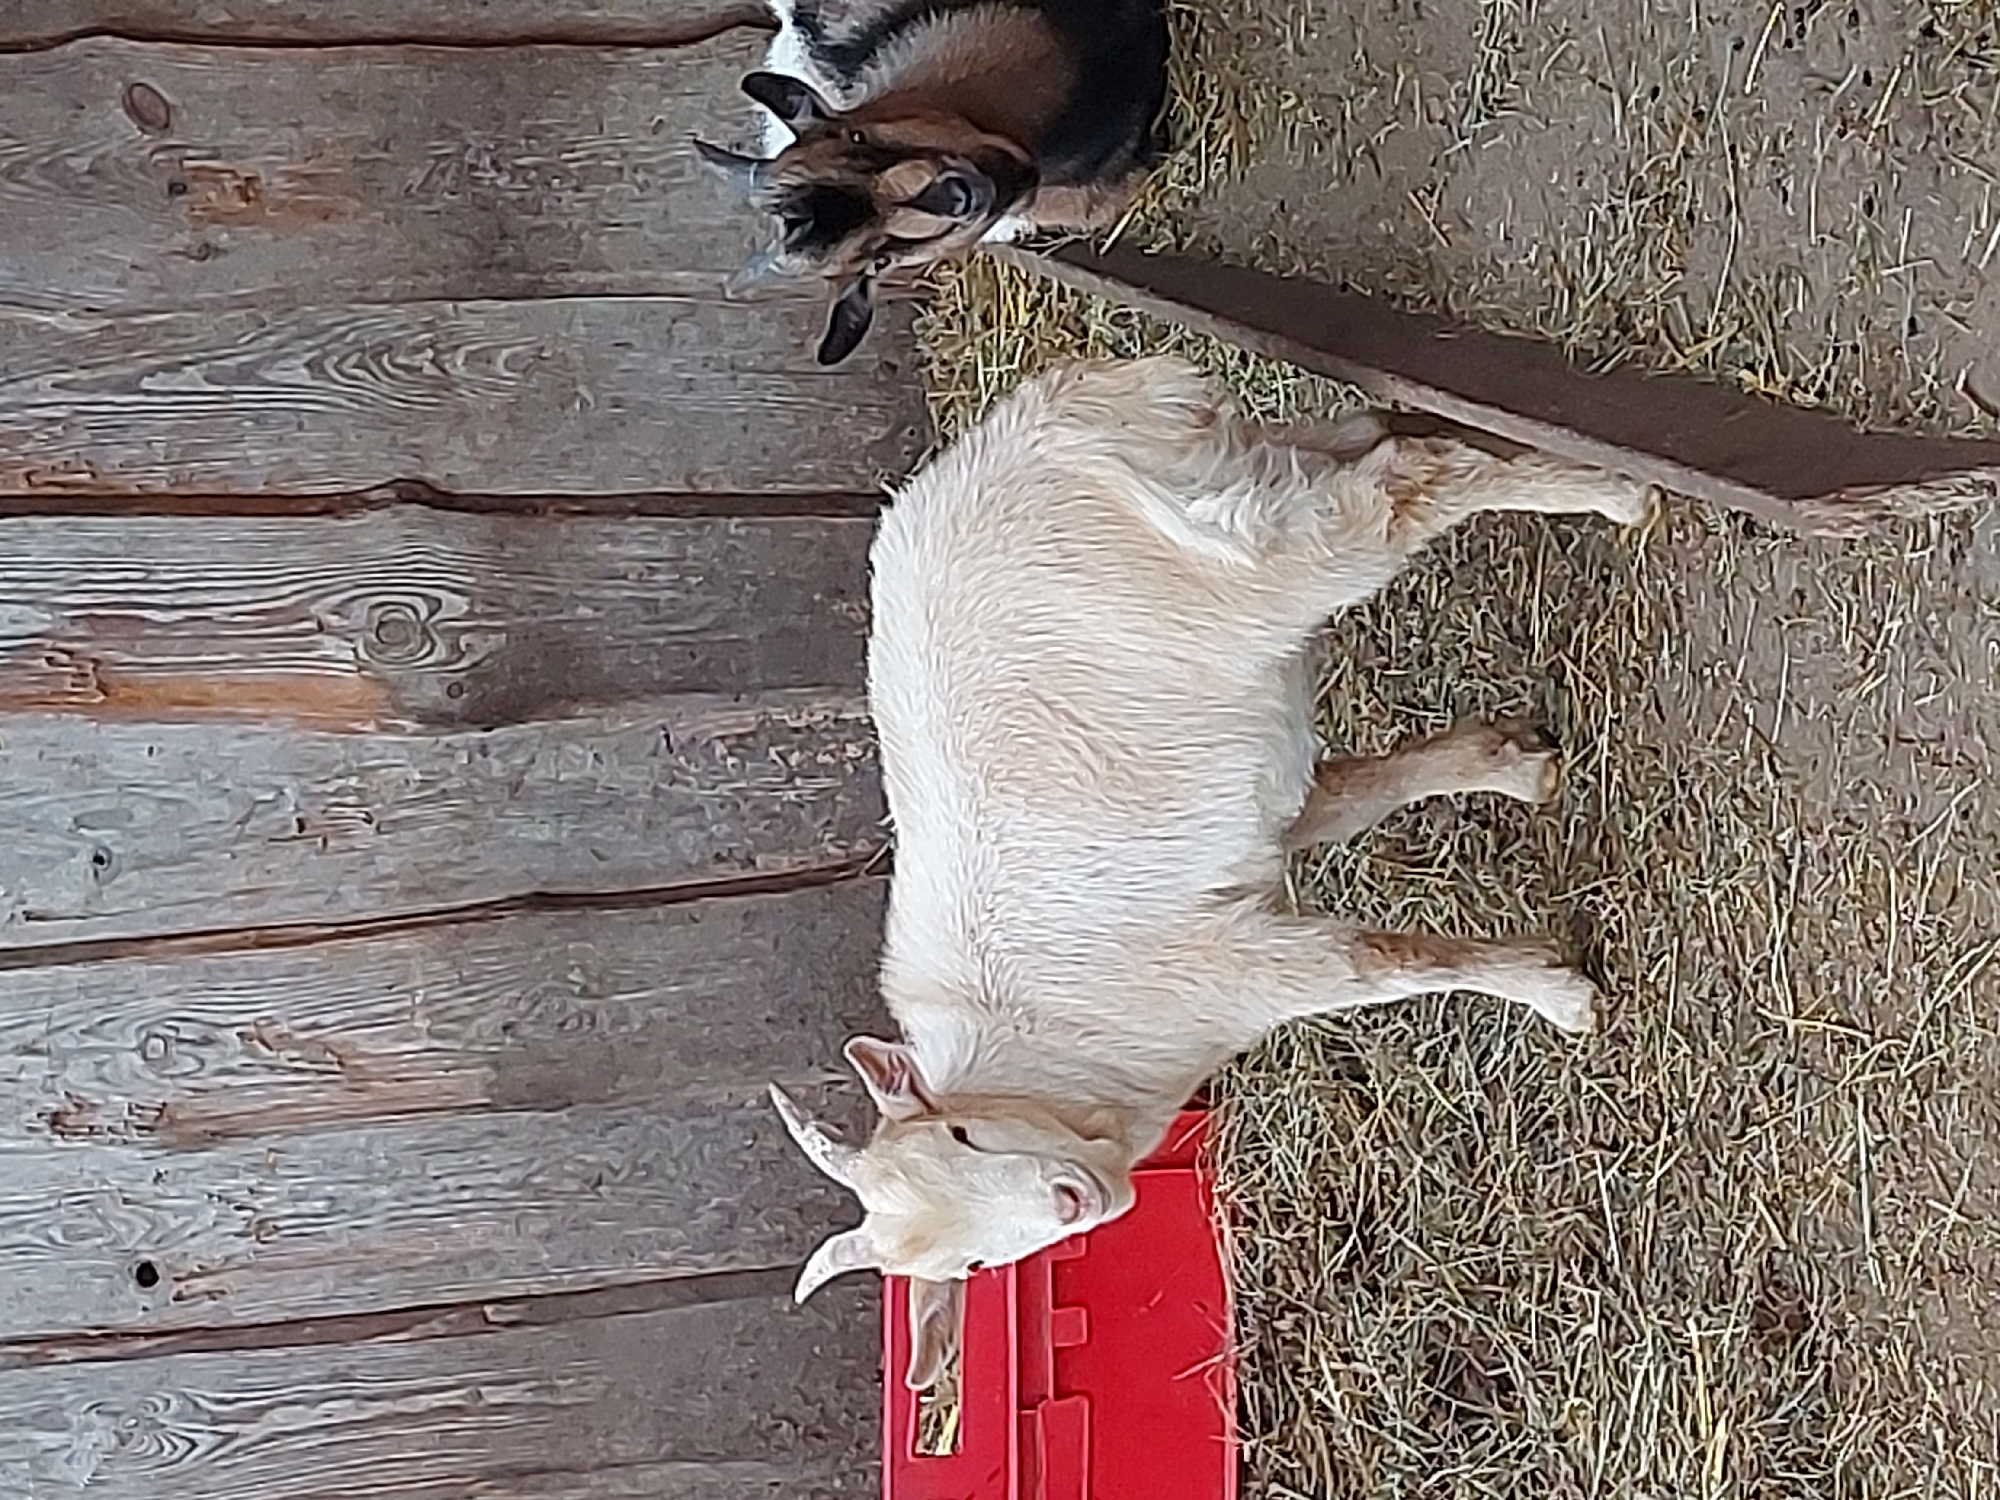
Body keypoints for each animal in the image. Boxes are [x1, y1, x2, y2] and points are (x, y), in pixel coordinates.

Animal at [770, 354, 1655, 1388]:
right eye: (977, 1267)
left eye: (962, 1134)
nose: (1070, 1202)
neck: (1050, 1061)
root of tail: (1050, 424)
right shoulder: (1268, 832)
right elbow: (1366, 790)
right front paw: (1514, 769)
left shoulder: (1231, 969)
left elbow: (1385, 965)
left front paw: (1561, 996)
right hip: (1247, 478)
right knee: (1373, 439)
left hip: (1252, 558)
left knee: (1409, 486)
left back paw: (1620, 496)